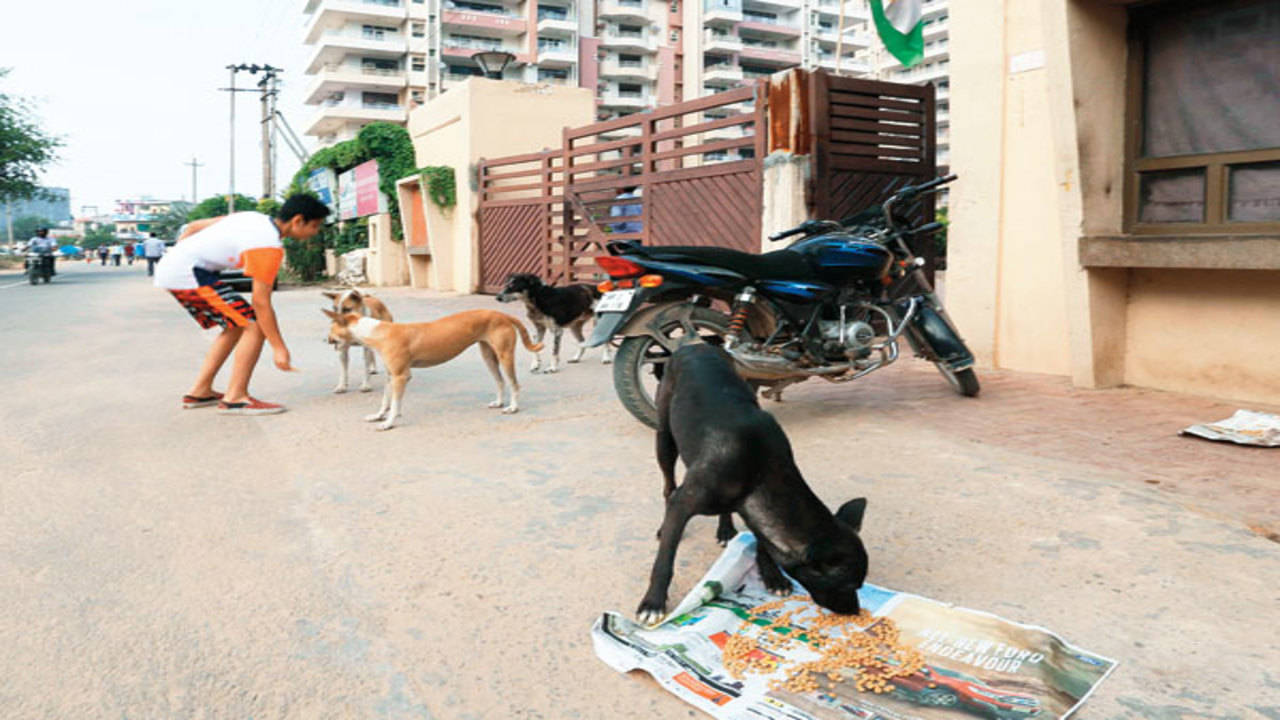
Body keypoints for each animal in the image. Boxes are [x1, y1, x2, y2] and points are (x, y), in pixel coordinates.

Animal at [322, 307, 542, 427]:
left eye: (330, 328)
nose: (325, 340)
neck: (379, 332)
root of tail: (500, 313)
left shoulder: (401, 376)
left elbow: (394, 403)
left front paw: (389, 423)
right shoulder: (391, 376)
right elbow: (385, 400)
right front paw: (378, 416)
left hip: (505, 356)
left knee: (514, 384)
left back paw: (513, 407)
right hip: (488, 356)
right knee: (500, 381)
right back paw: (499, 402)